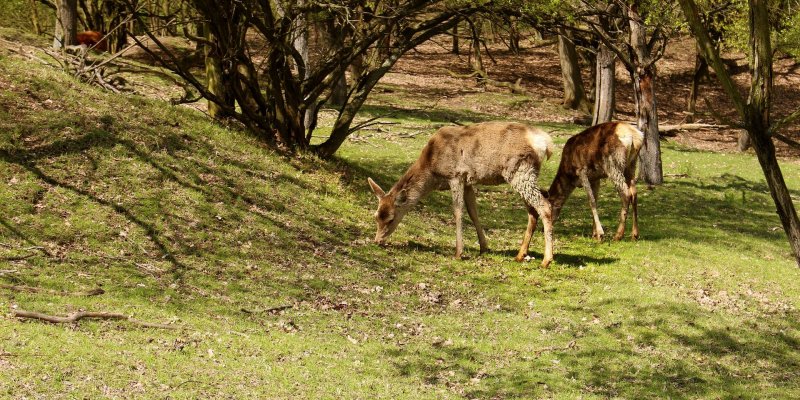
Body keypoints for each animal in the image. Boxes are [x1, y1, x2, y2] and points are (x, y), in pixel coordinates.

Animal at [368, 120, 556, 268]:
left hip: (520, 171)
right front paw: (483, 247)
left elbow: (458, 212)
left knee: (545, 205)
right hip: (522, 175)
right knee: (533, 211)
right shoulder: (468, 183)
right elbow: (473, 212)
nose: (377, 240)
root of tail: (546, 144)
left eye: (391, 218)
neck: (432, 170)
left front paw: (458, 252)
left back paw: (546, 260)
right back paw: (520, 255)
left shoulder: (456, 176)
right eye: (376, 216)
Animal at [520, 120, 644, 248]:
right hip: (631, 165)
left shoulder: (582, 171)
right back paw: (635, 234)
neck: (569, 175)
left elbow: (591, 201)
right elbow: (596, 199)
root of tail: (635, 136)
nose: (542, 229)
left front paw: (600, 234)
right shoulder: (595, 178)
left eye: (550, 207)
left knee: (625, 194)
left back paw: (618, 235)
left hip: (614, 164)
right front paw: (594, 234)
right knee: (634, 193)